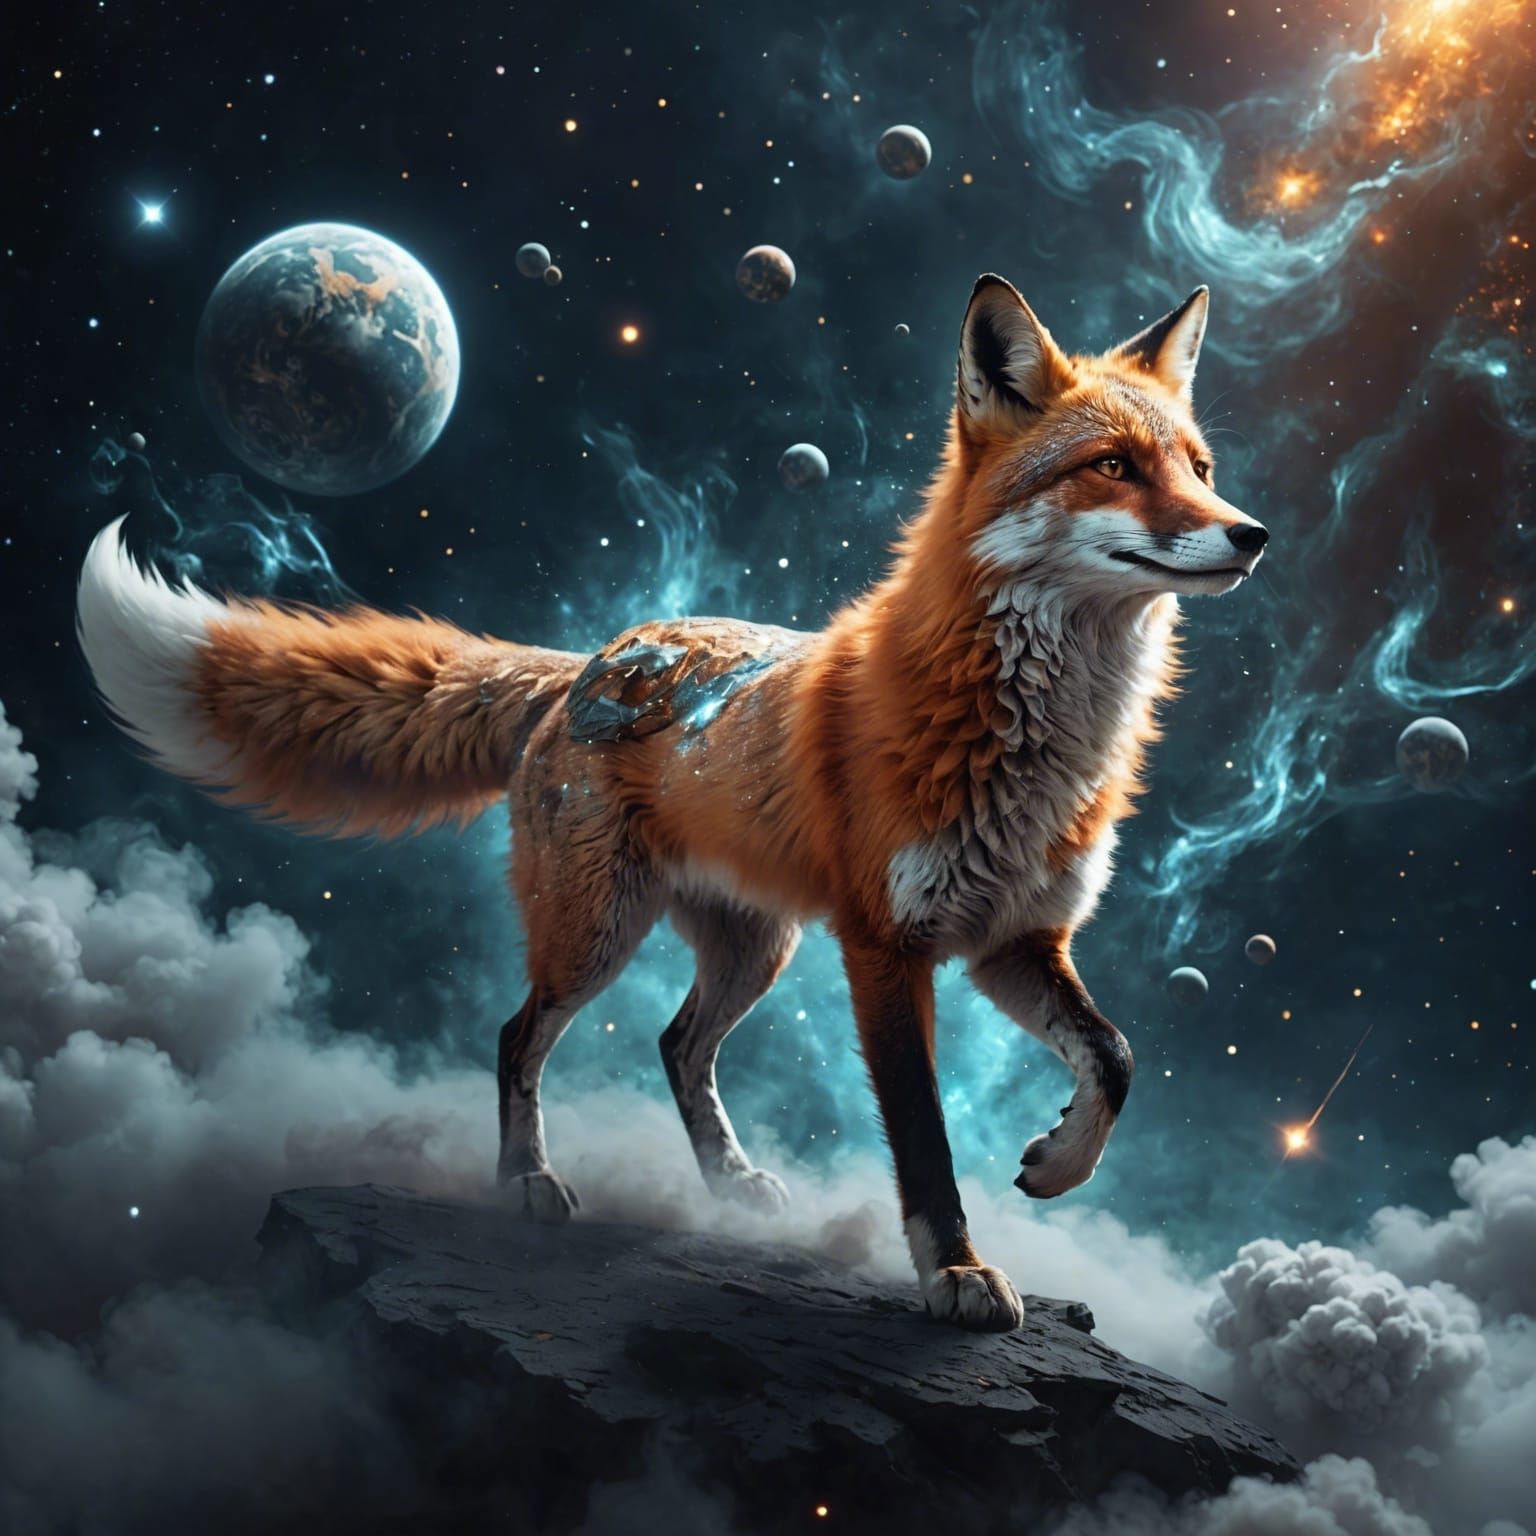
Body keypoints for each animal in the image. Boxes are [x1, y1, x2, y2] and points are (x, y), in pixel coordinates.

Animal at [77, 273, 1267, 1332]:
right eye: (1112, 466)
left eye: (1200, 467)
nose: (1250, 533)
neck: (1026, 743)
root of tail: (590, 663)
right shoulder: (888, 947)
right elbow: (926, 1142)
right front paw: (959, 1275)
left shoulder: (1014, 939)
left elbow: (1115, 1059)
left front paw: (1057, 1165)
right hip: (596, 932)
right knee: (519, 1035)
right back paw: (525, 1184)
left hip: (754, 948)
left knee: (676, 1044)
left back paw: (729, 1184)